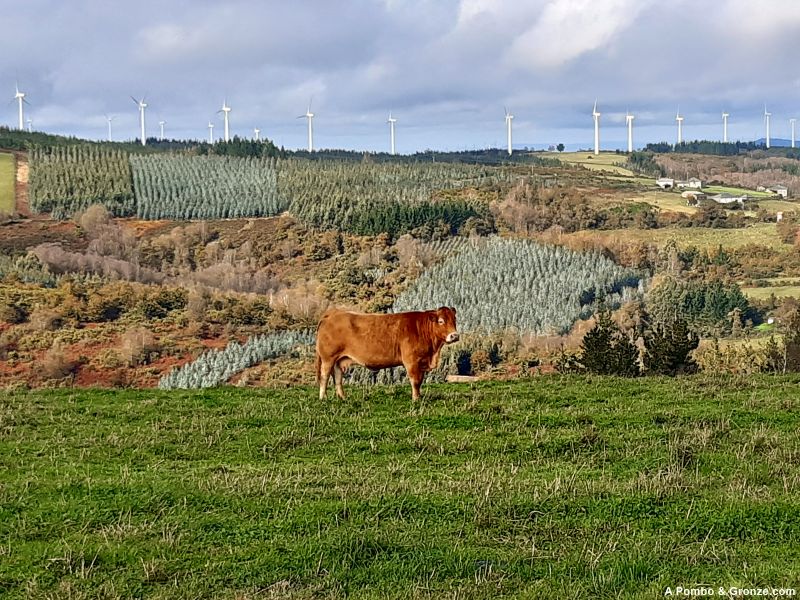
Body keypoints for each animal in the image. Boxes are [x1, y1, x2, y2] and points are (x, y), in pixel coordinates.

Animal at [316, 308, 460, 400]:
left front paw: (418, 397)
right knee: (324, 377)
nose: (455, 336)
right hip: (328, 358)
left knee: (338, 377)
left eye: (454, 320)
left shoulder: (421, 362)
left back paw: (343, 398)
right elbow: (415, 381)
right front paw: (416, 399)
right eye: (441, 321)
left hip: (339, 359)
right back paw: (323, 398)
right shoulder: (411, 361)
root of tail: (332, 314)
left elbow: (419, 381)